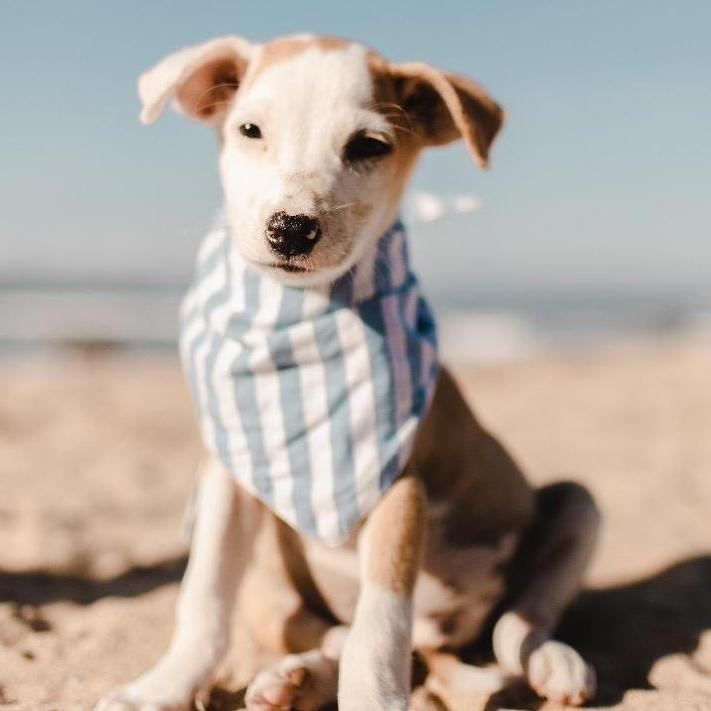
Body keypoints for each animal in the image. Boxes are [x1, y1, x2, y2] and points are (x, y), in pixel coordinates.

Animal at [97, 33, 600, 711]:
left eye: (368, 146)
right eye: (250, 130)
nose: (291, 228)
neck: (302, 320)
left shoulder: (400, 487)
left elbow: (379, 625)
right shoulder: (227, 476)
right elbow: (203, 599)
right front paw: (162, 688)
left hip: (577, 504)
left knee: (513, 623)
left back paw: (550, 663)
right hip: (268, 565)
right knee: (327, 631)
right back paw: (293, 678)